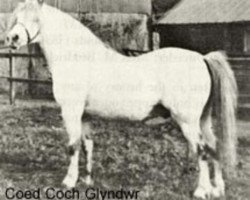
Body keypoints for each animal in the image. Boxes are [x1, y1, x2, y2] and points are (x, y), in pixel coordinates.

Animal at [5, 0, 236, 199]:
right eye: (17, 17)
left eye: (36, 19)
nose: (12, 38)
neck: (80, 58)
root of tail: (202, 58)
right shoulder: (85, 115)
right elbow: (88, 145)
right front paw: (87, 180)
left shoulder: (71, 112)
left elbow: (73, 145)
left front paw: (69, 181)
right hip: (203, 119)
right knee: (213, 146)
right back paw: (217, 189)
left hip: (187, 121)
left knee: (201, 150)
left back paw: (201, 191)